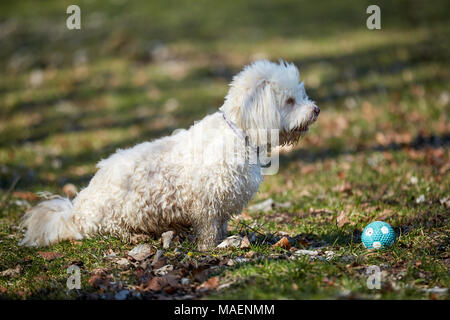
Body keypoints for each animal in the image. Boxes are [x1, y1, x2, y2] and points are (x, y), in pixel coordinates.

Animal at [19, 60, 318, 250]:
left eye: (301, 95)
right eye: (290, 100)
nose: (315, 110)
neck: (239, 132)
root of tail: (76, 211)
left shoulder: (221, 203)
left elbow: (220, 224)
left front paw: (225, 238)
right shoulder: (206, 201)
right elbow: (209, 228)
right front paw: (210, 247)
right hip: (117, 214)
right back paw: (135, 237)